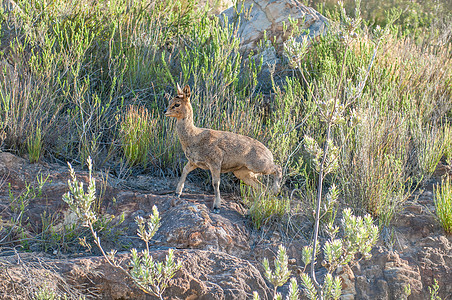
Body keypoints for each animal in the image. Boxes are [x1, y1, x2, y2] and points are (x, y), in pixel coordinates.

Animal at [164, 84, 280, 213]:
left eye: (177, 104)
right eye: (170, 101)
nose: (165, 111)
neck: (193, 137)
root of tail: (270, 153)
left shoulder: (215, 162)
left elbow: (215, 183)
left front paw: (216, 206)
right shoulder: (194, 162)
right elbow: (184, 171)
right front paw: (177, 193)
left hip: (259, 165)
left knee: (277, 168)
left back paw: (276, 190)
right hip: (243, 173)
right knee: (262, 188)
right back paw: (251, 210)